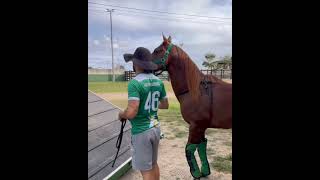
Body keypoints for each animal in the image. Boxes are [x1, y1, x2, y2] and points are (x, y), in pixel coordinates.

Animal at [151, 34, 231, 179]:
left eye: (157, 50)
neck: (195, 91)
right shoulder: (201, 127)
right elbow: (201, 146)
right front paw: (204, 172)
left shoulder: (195, 126)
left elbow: (189, 149)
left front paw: (196, 174)